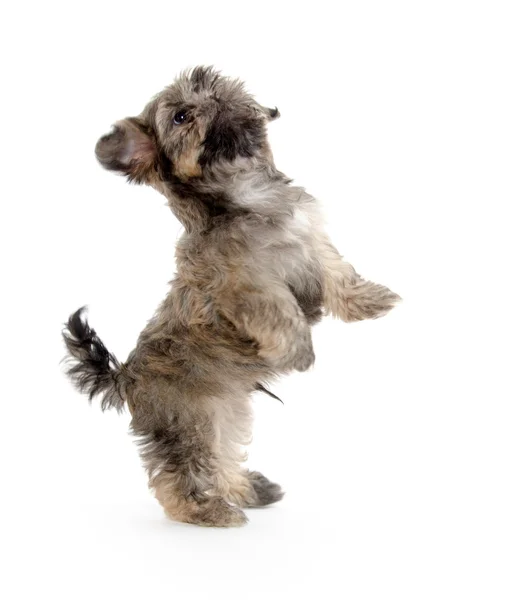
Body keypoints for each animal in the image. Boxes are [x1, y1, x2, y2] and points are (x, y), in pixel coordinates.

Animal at [64, 65, 402, 524]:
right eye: (181, 117)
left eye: (211, 84)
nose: (215, 97)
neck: (246, 194)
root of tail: (127, 376)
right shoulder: (242, 286)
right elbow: (280, 310)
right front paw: (299, 351)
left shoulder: (312, 239)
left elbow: (337, 272)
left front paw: (370, 301)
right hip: (188, 421)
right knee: (177, 474)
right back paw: (204, 511)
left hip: (224, 413)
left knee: (221, 456)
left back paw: (248, 490)